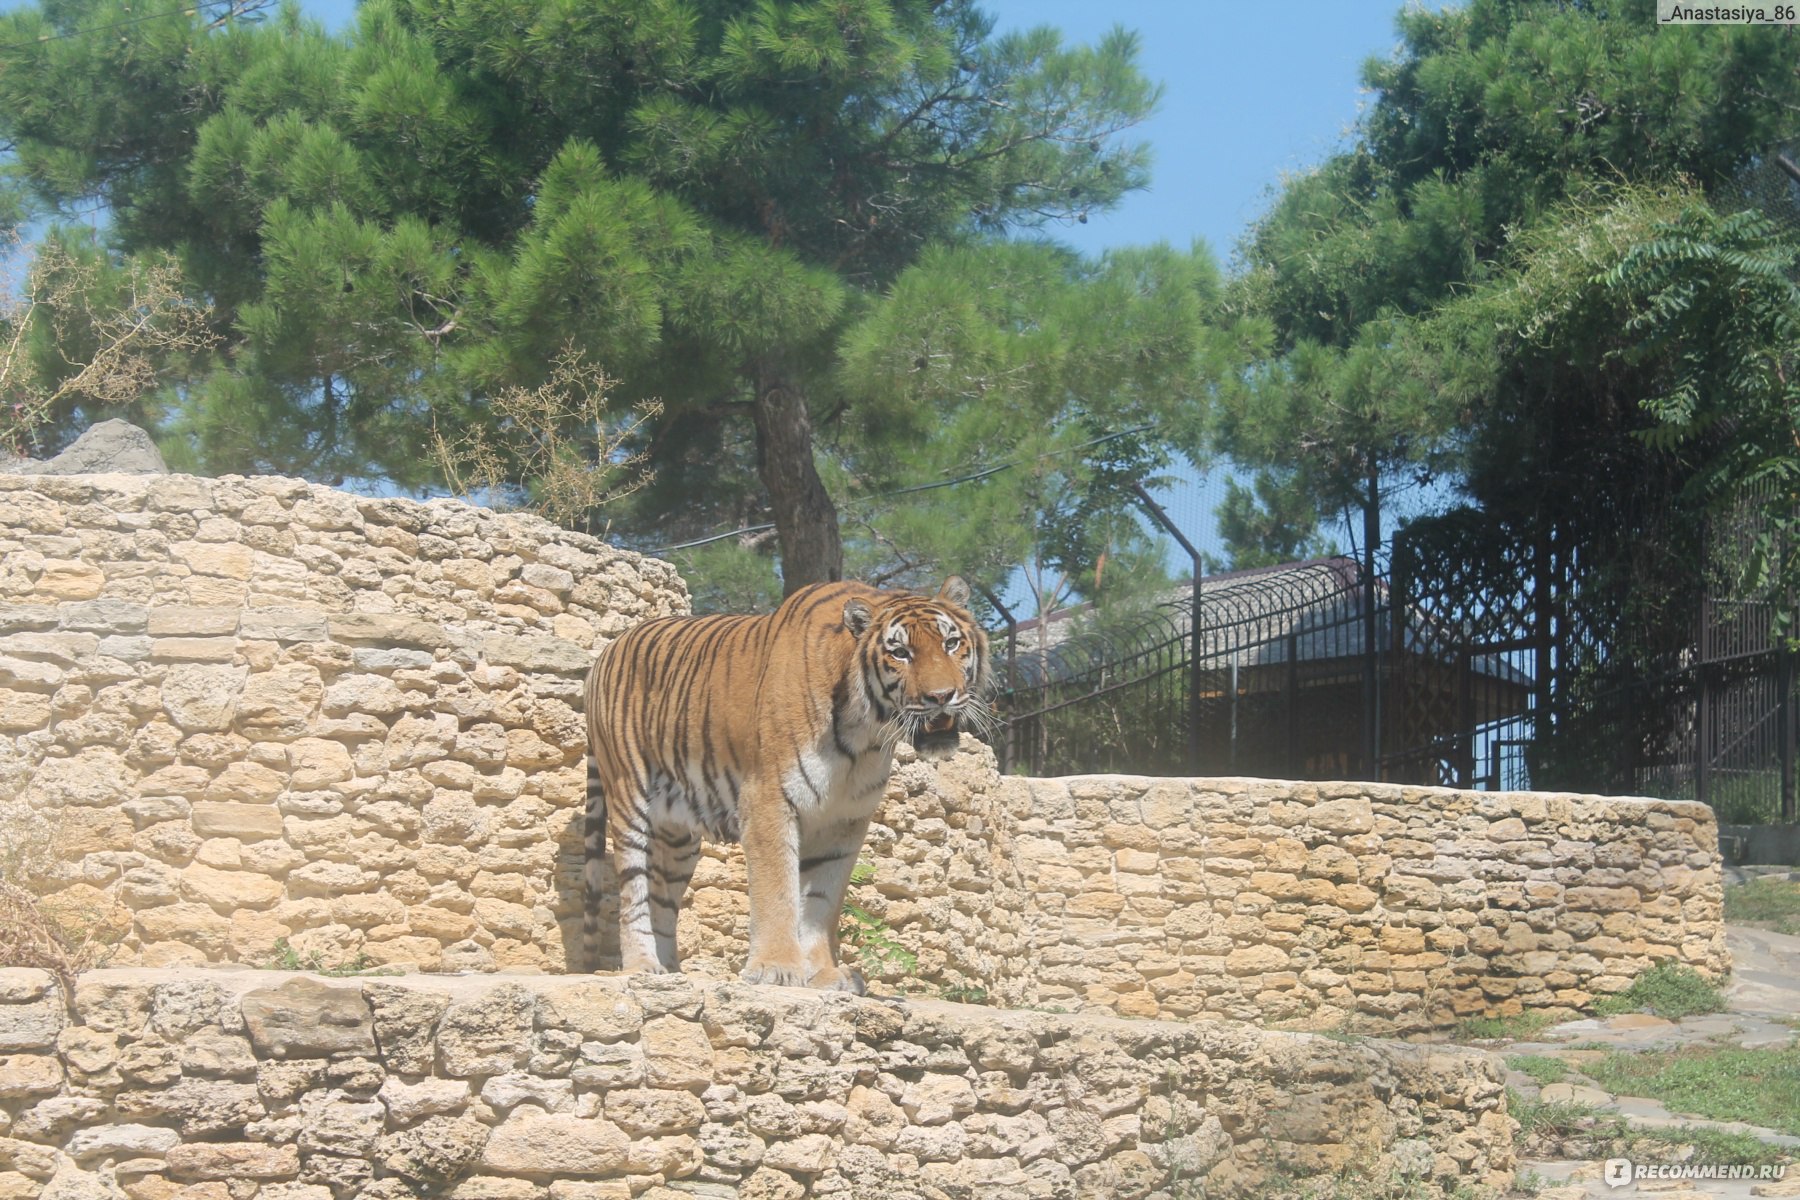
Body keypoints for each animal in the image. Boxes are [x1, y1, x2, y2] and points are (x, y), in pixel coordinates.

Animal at [583, 575, 993, 993]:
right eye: (900, 653)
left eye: (951, 643)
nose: (941, 697)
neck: (864, 736)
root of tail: (607, 650)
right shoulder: (768, 801)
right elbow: (777, 890)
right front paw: (776, 968)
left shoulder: (844, 820)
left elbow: (821, 902)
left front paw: (824, 973)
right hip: (630, 797)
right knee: (633, 892)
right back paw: (642, 968)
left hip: (678, 835)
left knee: (662, 899)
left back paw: (673, 973)